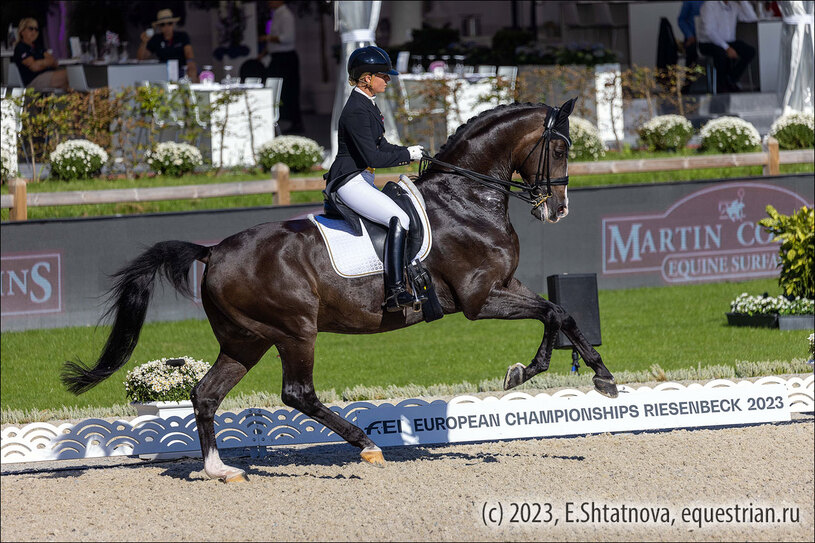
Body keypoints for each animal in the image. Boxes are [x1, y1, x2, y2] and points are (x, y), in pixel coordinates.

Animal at [62, 96, 620, 480]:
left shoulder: (505, 284)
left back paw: (220, 470)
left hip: (246, 339)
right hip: (294, 331)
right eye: (560, 147)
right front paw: (595, 378)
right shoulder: (479, 299)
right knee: (297, 393)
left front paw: (554, 371)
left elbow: (558, 314)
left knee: (205, 393)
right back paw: (365, 445)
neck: (466, 198)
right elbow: (555, 312)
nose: (558, 209)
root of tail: (213, 251)